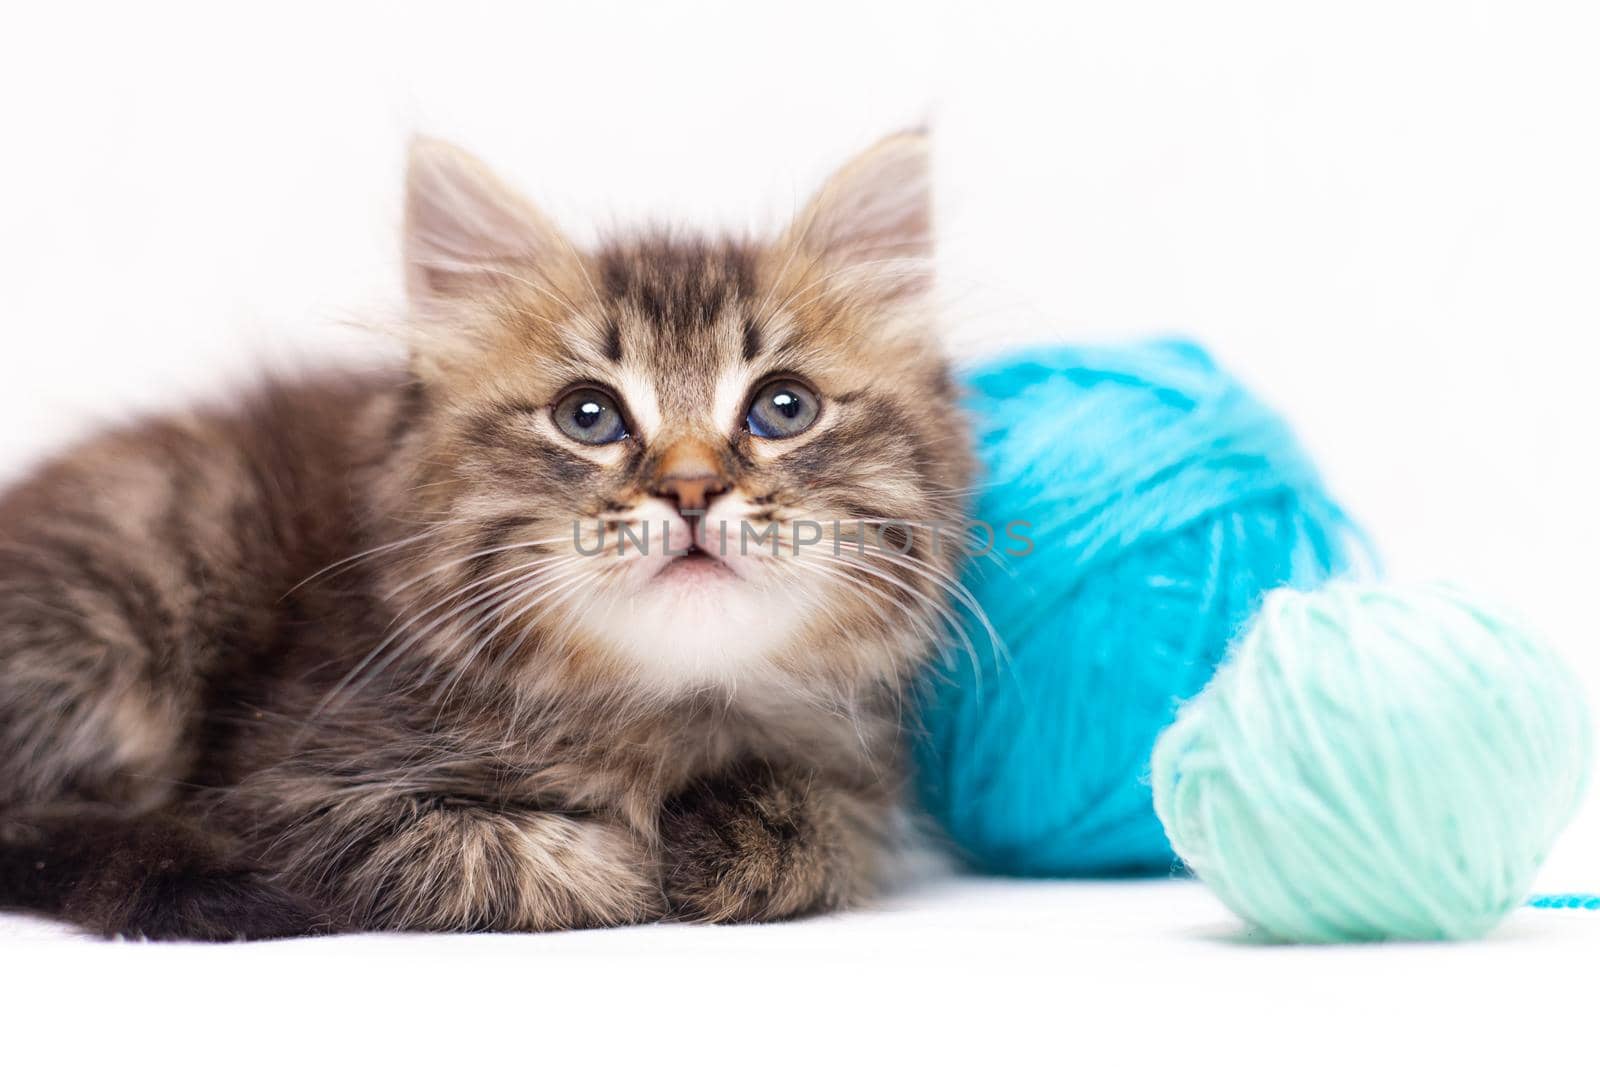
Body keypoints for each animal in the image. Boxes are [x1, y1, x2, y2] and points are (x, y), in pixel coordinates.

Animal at [0, 129, 972, 940]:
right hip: (132, 593)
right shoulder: (291, 790)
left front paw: (740, 834)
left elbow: (830, 830)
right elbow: (518, 861)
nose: (691, 488)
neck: (674, 705)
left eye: (784, 408)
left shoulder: (865, 781)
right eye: (588, 416)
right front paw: (642, 856)